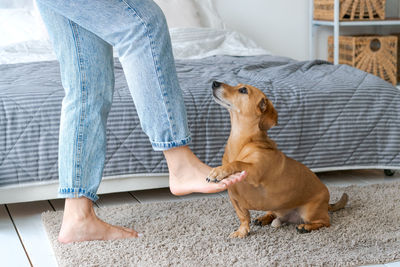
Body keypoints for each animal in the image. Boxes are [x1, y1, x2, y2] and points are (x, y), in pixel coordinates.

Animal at [208, 81, 348, 239]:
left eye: (243, 90)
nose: (214, 83)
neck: (242, 142)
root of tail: (327, 203)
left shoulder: (255, 172)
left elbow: (238, 163)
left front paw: (217, 172)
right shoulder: (234, 198)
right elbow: (243, 216)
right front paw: (242, 232)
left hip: (310, 212)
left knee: (325, 222)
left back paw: (306, 227)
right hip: (275, 206)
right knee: (272, 213)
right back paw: (264, 218)